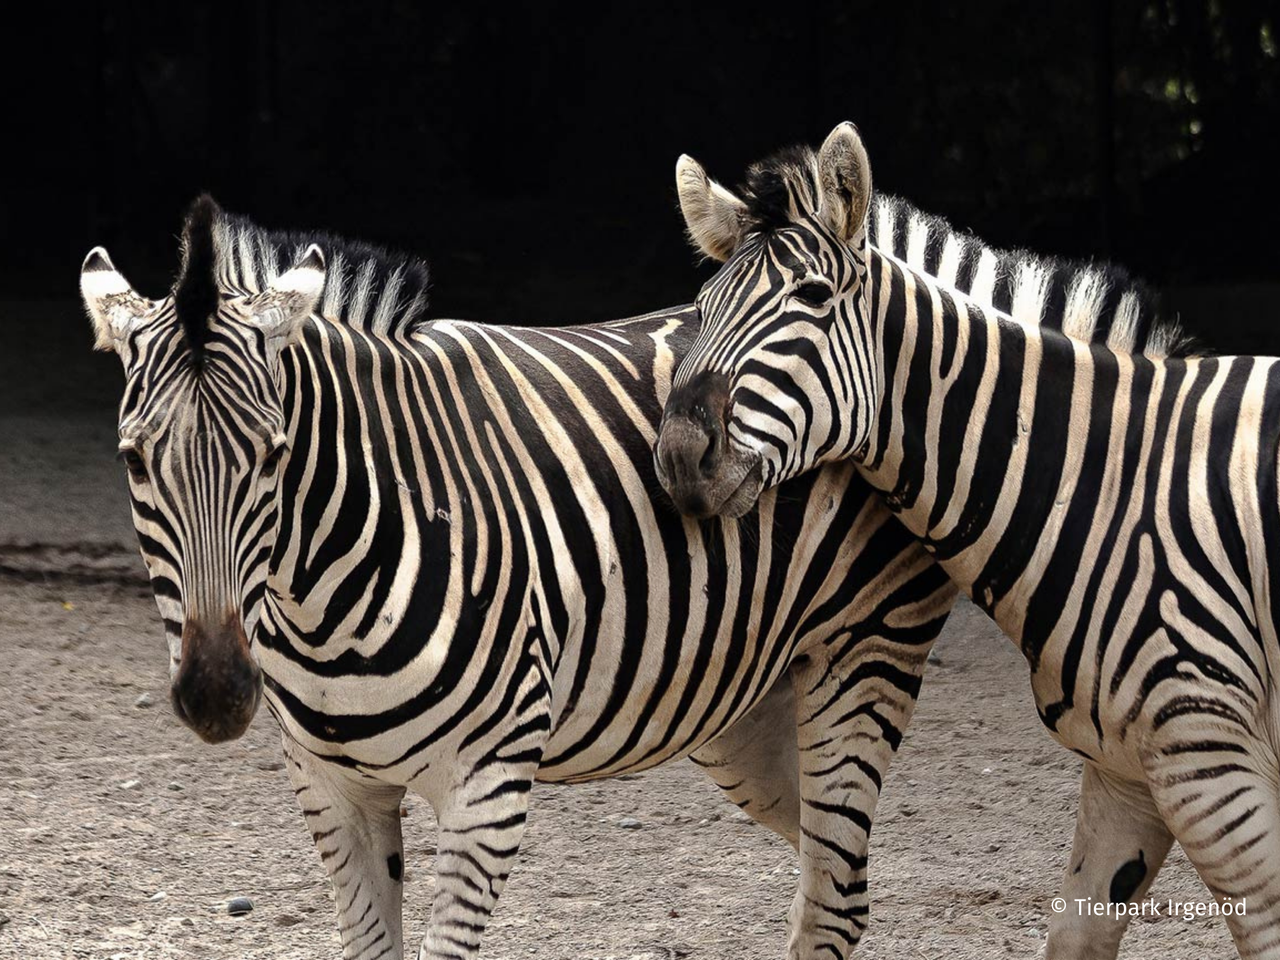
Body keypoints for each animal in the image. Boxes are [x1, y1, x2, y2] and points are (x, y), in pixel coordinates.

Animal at [80, 192, 1172, 957]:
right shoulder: (331, 791)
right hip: (740, 713)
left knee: (835, 893)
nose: (216, 694)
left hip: (865, 653)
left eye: (272, 459)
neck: (322, 598)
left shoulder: (488, 789)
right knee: (843, 882)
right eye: (134, 461)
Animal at [655, 124, 1280, 957]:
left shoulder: (1212, 758)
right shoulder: (1133, 767)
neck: (1112, 486)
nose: (677, 456)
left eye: (813, 298)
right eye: (701, 308)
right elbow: (1075, 934)